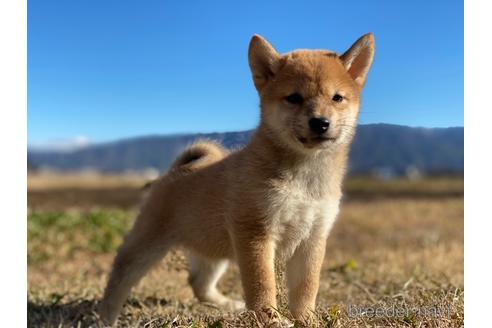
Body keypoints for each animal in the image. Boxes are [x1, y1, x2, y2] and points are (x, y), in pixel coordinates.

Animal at [100, 33, 376, 326]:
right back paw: (105, 316)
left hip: (212, 250)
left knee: (198, 283)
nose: (320, 122)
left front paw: (307, 319)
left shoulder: (313, 237)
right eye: (294, 98)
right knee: (119, 278)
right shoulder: (255, 232)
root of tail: (174, 172)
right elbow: (262, 285)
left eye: (337, 98)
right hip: (148, 244)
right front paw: (271, 320)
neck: (305, 178)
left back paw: (225, 304)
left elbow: (306, 287)